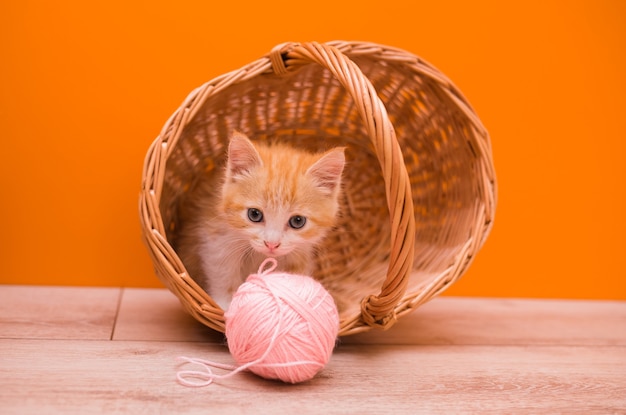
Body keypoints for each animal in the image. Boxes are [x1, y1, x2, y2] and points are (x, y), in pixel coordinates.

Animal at [174, 132, 346, 310]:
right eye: (254, 214)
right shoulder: (216, 235)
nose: (271, 244)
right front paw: (227, 304)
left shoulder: (300, 251)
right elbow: (223, 270)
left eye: (298, 221)